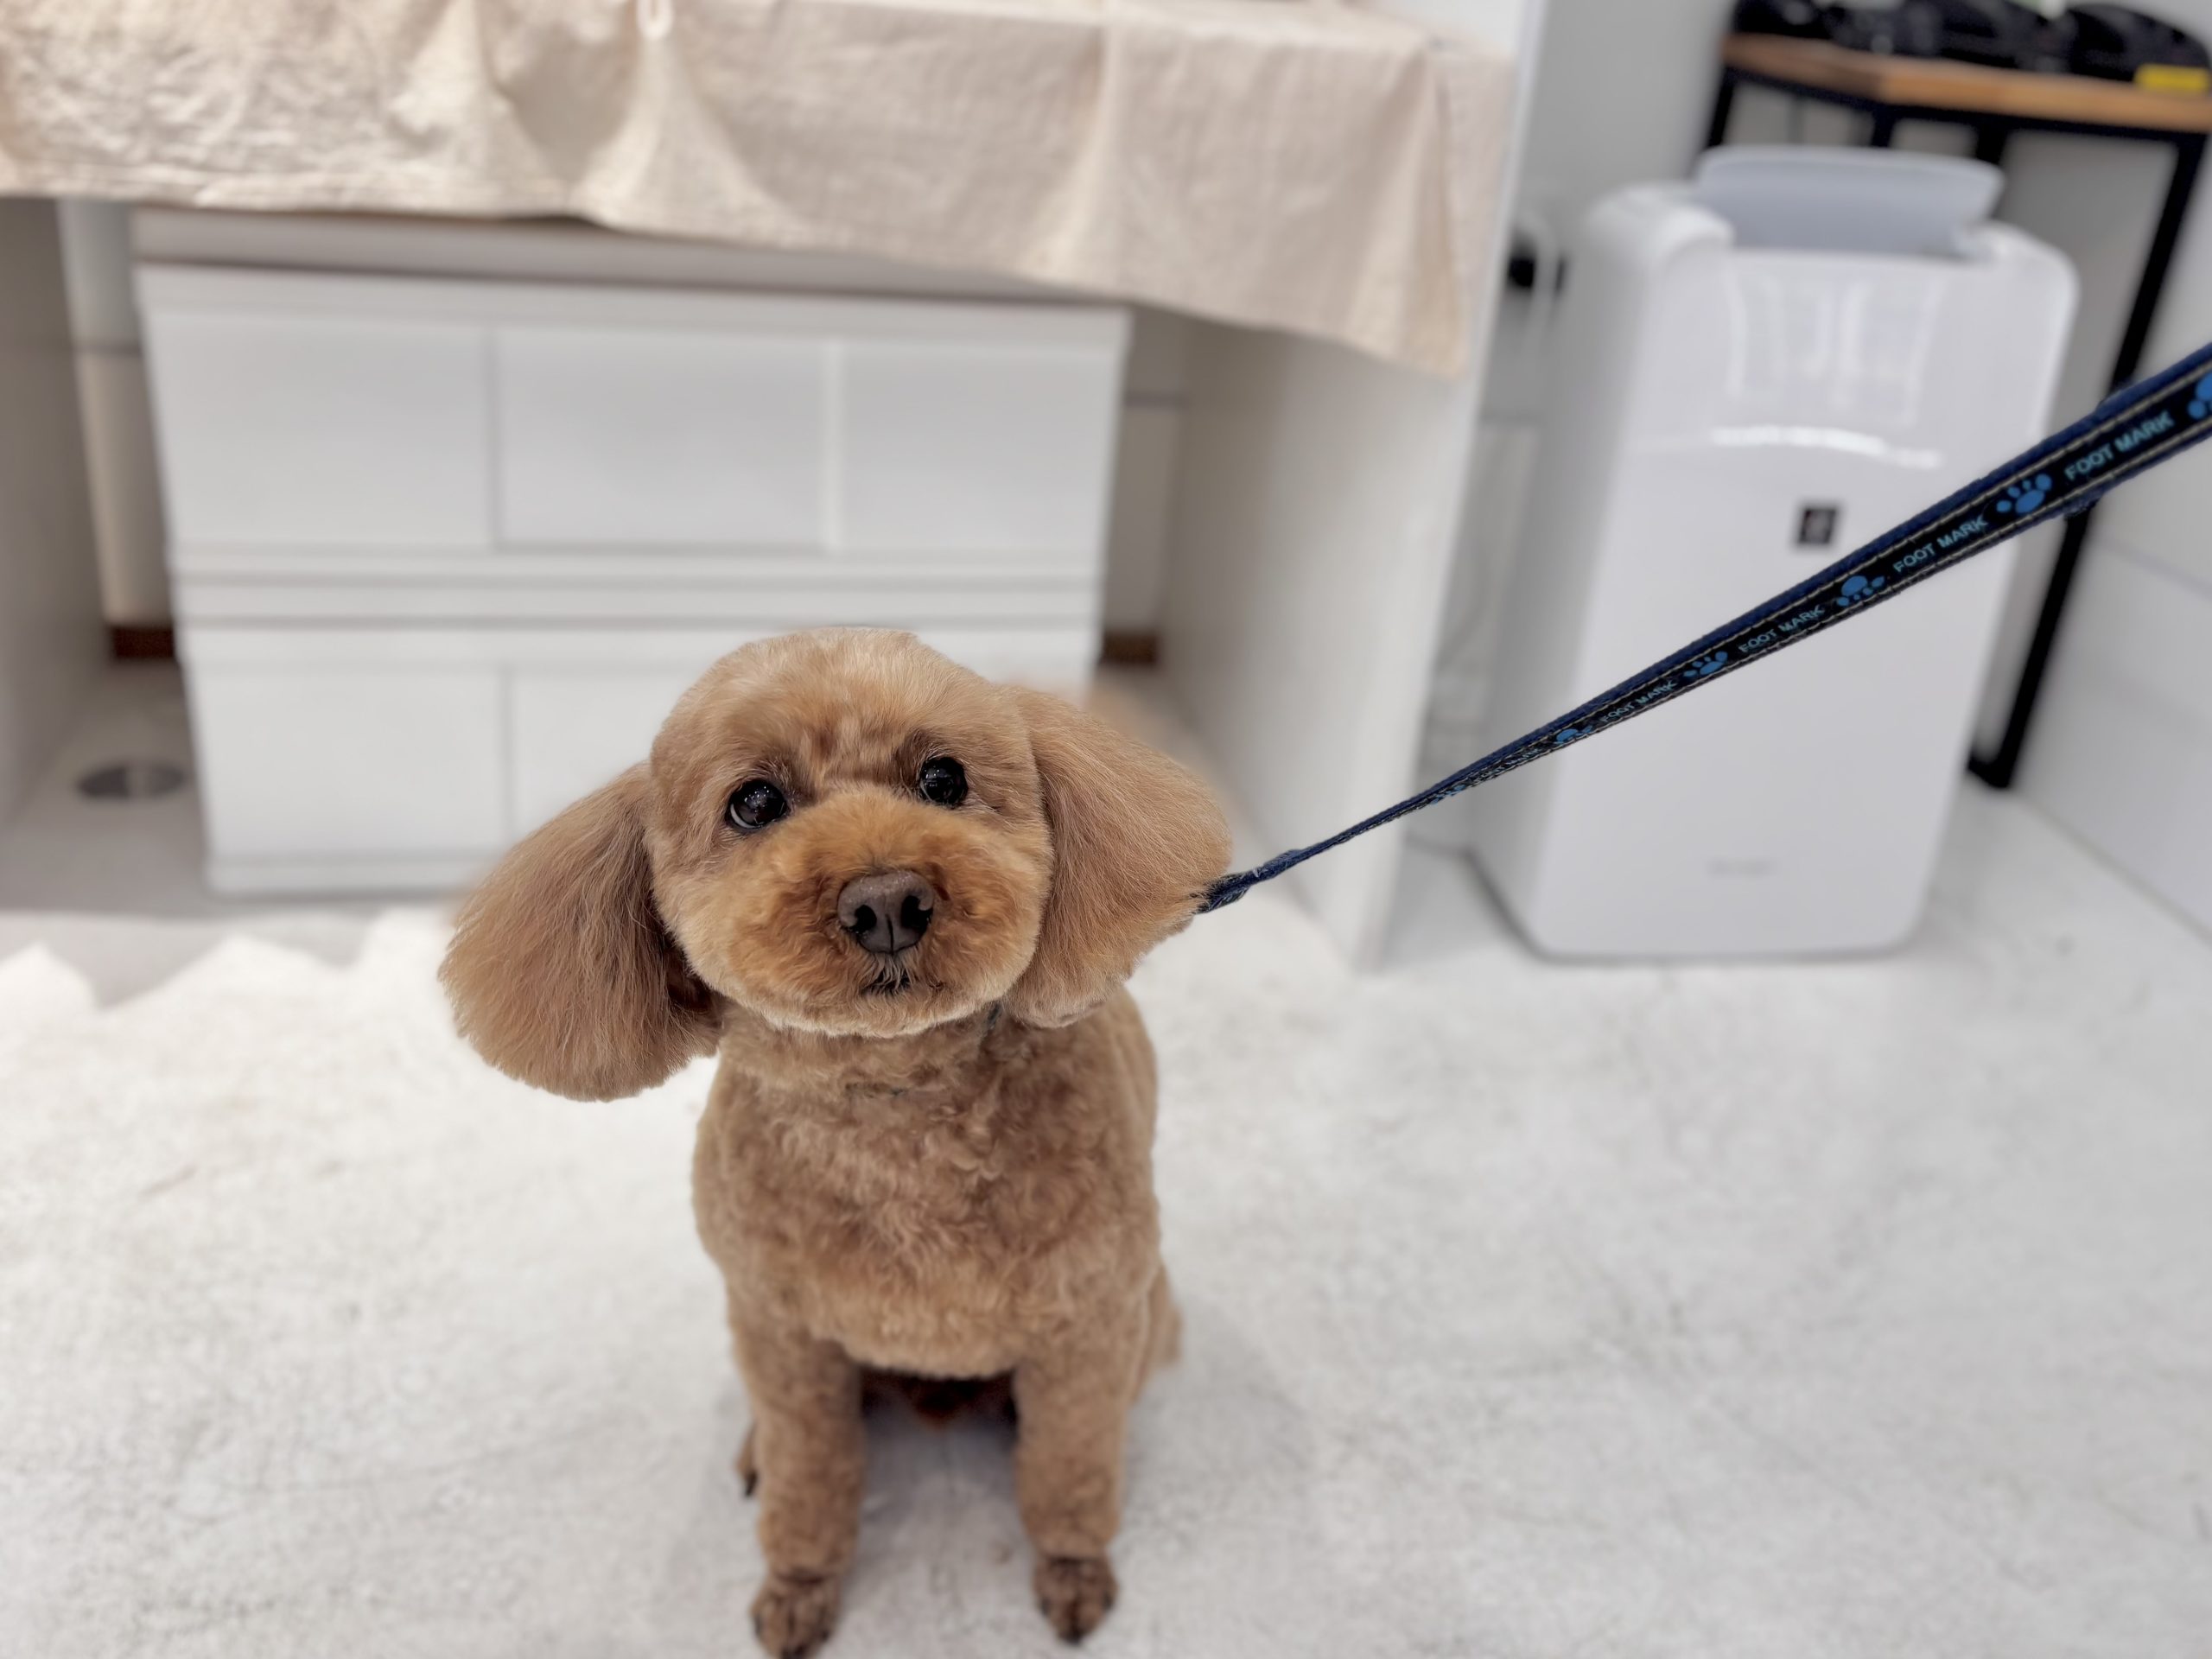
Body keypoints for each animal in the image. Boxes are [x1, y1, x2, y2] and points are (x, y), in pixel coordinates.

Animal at [439, 628, 1230, 1656]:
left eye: (943, 779)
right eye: (754, 803)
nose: (888, 901)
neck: (893, 1112)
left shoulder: (1086, 1331)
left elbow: (1070, 1471)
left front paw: (1073, 1570)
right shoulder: (785, 1335)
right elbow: (811, 1475)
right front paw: (800, 1587)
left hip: (1147, 1310)